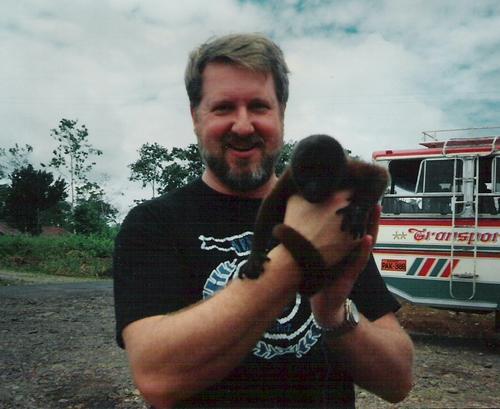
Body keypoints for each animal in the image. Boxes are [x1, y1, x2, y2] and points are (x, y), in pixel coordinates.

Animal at [239, 134, 390, 296]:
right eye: (306, 174)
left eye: (323, 174)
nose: (314, 187)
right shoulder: (290, 178)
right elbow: (271, 204)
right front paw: (254, 257)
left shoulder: (348, 171)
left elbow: (378, 174)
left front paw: (356, 212)